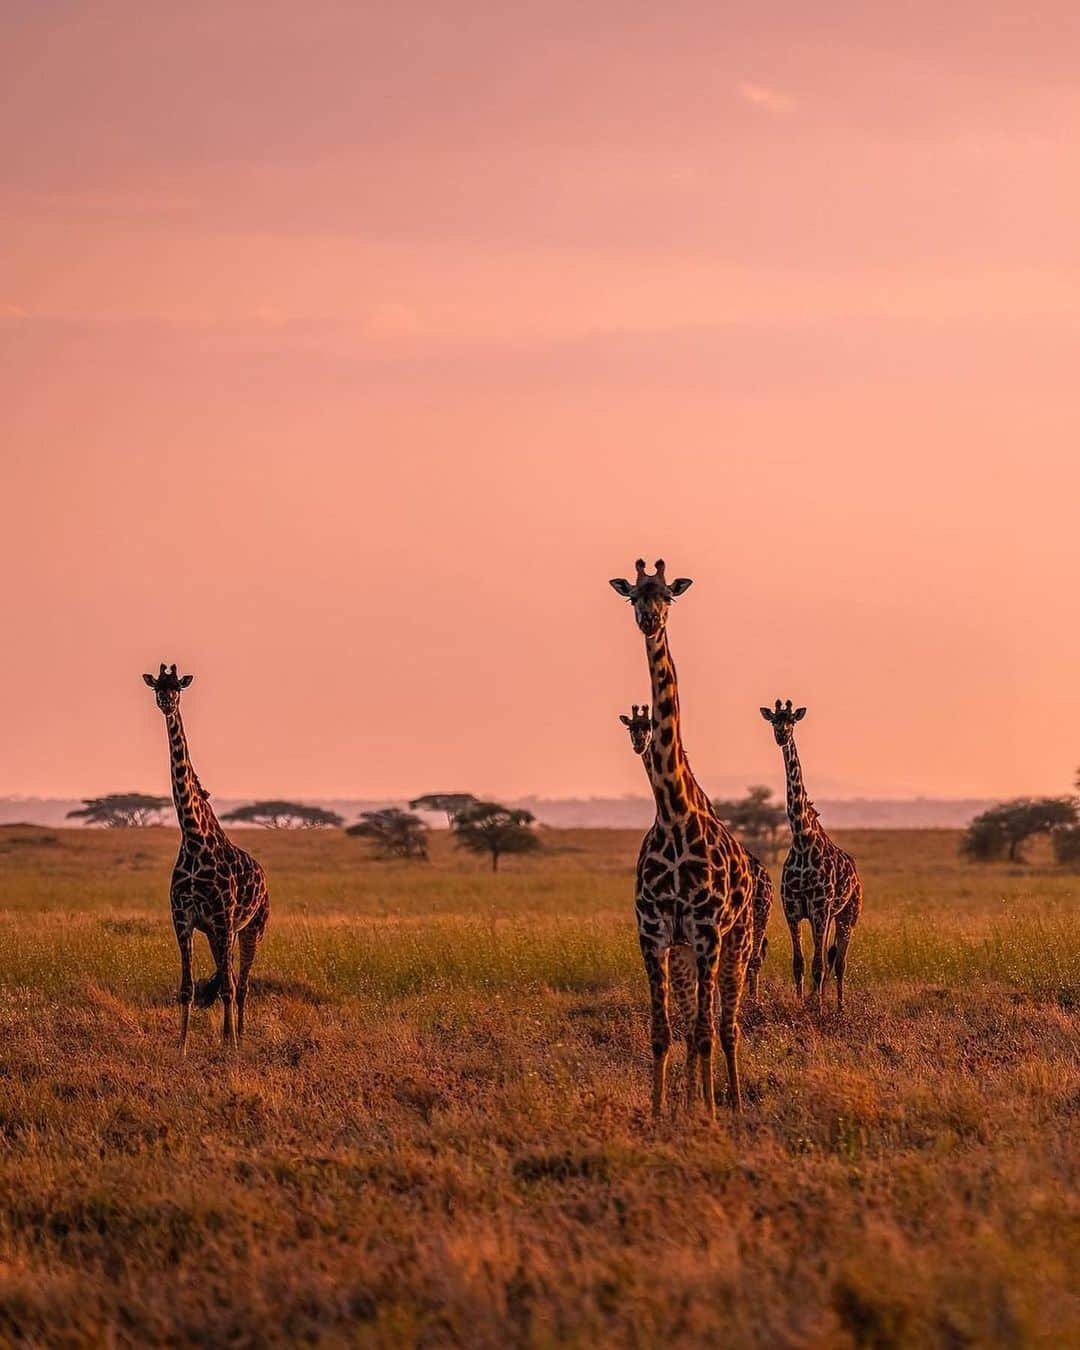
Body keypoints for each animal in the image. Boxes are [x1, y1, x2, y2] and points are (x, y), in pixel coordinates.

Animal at [142, 664, 268, 1053]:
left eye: (178, 688)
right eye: (157, 686)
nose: (166, 702)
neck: (195, 838)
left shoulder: (224, 920)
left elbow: (227, 987)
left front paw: (232, 1047)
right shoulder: (183, 919)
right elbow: (187, 989)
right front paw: (181, 1048)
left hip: (252, 928)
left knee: (241, 985)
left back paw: (239, 1037)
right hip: (217, 934)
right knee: (230, 979)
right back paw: (228, 1036)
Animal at [607, 561, 750, 1117]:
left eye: (668, 594)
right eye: (632, 596)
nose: (650, 620)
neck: (672, 813)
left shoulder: (708, 931)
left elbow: (705, 1032)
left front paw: (706, 1115)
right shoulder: (654, 933)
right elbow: (663, 1032)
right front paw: (659, 1112)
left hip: (737, 939)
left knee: (727, 1026)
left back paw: (729, 1101)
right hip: (686, 949)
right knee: (694, 1024)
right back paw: (691, 1099)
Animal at [621, 707, 772, 1004]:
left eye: (648, 725)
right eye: (631, 726)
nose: (639, 743)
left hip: (755, 916)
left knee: (754, 956)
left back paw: (753, 1002)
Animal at [761, 702, 858, 1009]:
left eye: (792, 720)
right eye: (774, 721)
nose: (781, 735)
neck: (803, 839)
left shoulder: (819, 908)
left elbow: (819, 966)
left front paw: (817, 1011)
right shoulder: (793, 909)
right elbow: (800, 964)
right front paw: (804, 1004)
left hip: (848, 914)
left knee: (839, 963)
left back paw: (838, 1007)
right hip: (828, 917)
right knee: (828, 958)